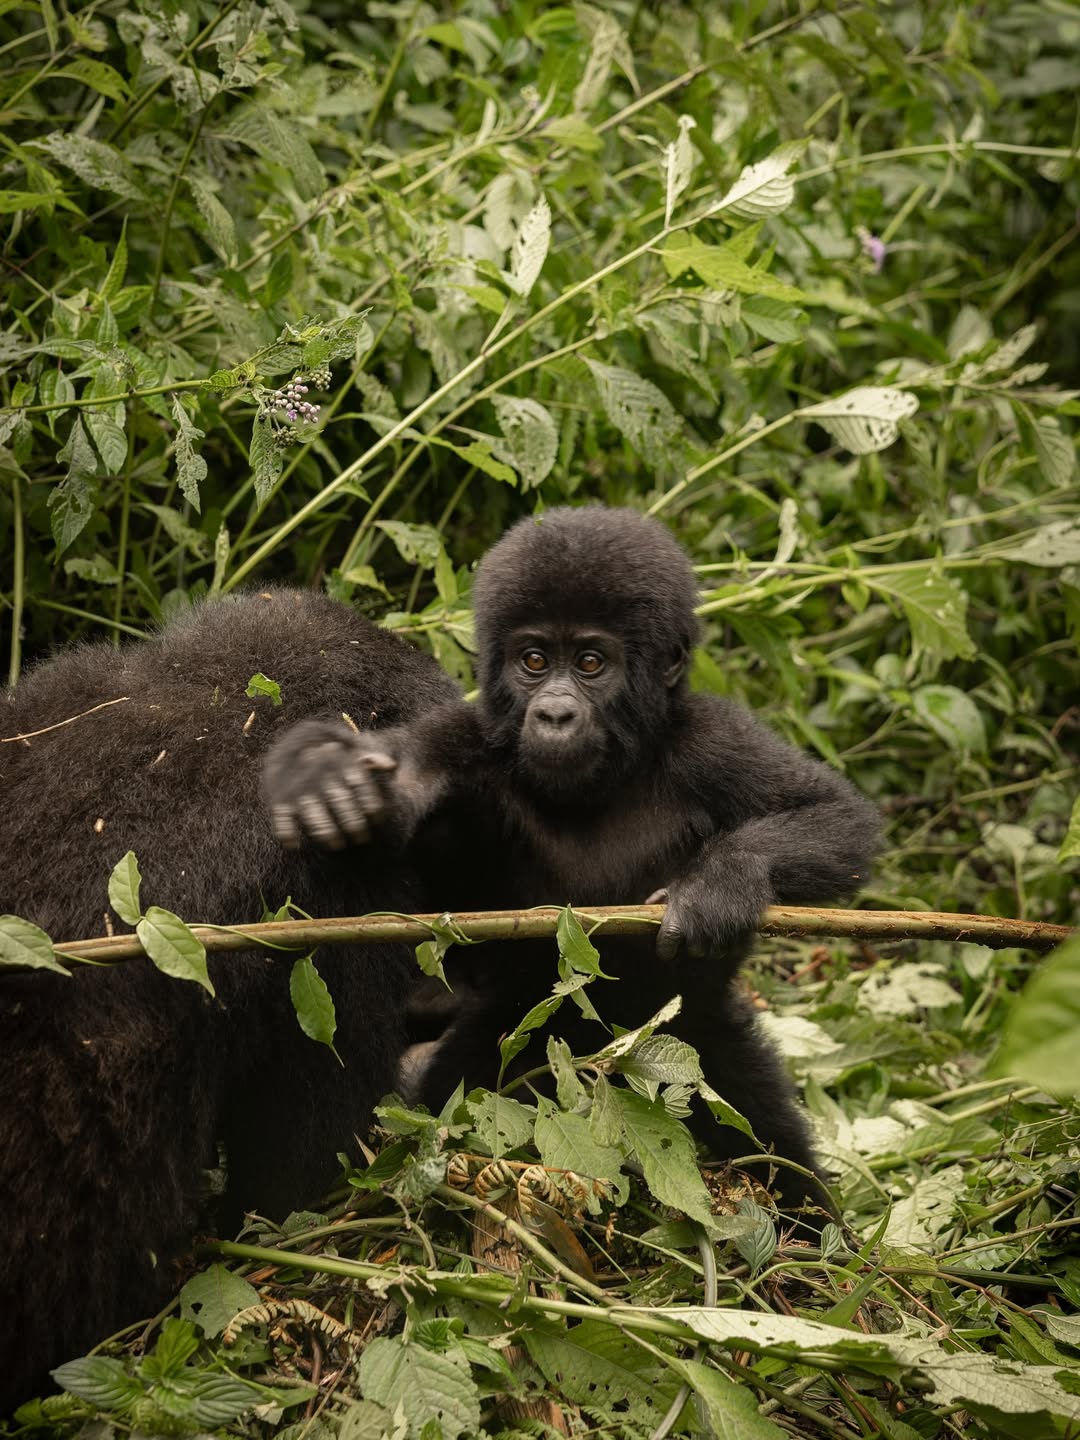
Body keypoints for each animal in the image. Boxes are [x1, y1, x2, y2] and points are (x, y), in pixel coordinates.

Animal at [262, 507, 882, 1209]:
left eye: (590, 662)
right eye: (533, 659)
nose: (555, 713)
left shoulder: (713, 740)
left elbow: (836, 815)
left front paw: (719, 886)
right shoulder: (465, 739)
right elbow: (401, 780)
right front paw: (318, 773)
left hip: (699, 1037)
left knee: (765, 1130)